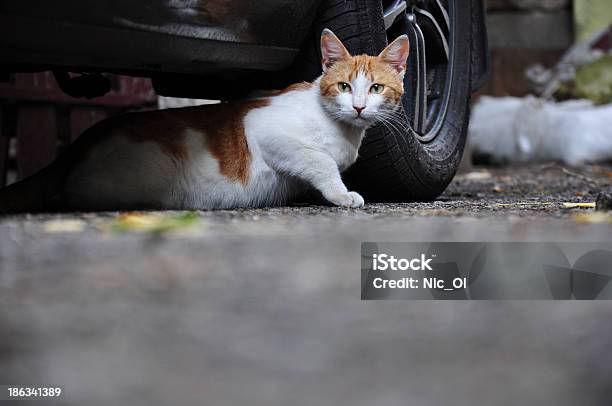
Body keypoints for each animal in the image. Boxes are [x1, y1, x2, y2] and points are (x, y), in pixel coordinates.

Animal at [1, 28, 412, 213]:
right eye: (344, 86)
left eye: (375, 88)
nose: (358, 107)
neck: (342, 130)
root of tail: (83, 140)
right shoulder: (267, 130)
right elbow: (321, 162)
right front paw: (342, 194)